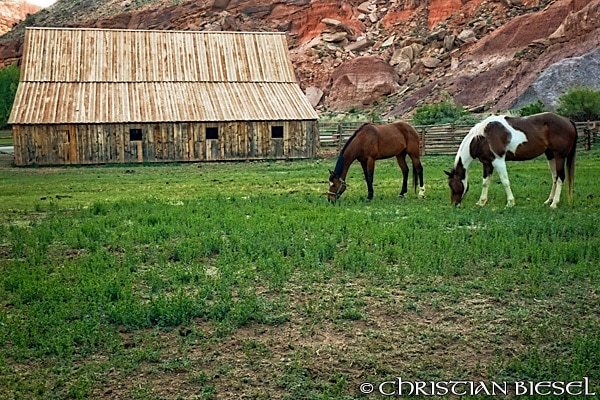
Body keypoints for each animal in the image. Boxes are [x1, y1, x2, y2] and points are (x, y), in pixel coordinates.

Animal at [446, 111, 576, 208]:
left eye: (452, 185)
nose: (454, 204)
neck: (483, 137)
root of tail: (567, 120)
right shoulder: (487, 163)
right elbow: (485, 182)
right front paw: (481, 202)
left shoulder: (498, 161)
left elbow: (505, 181)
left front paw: (510, 202)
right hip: (550, 155)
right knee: (555, 177)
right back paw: (549, 201)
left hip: (559, 156)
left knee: (560, 178)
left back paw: (554, 204)